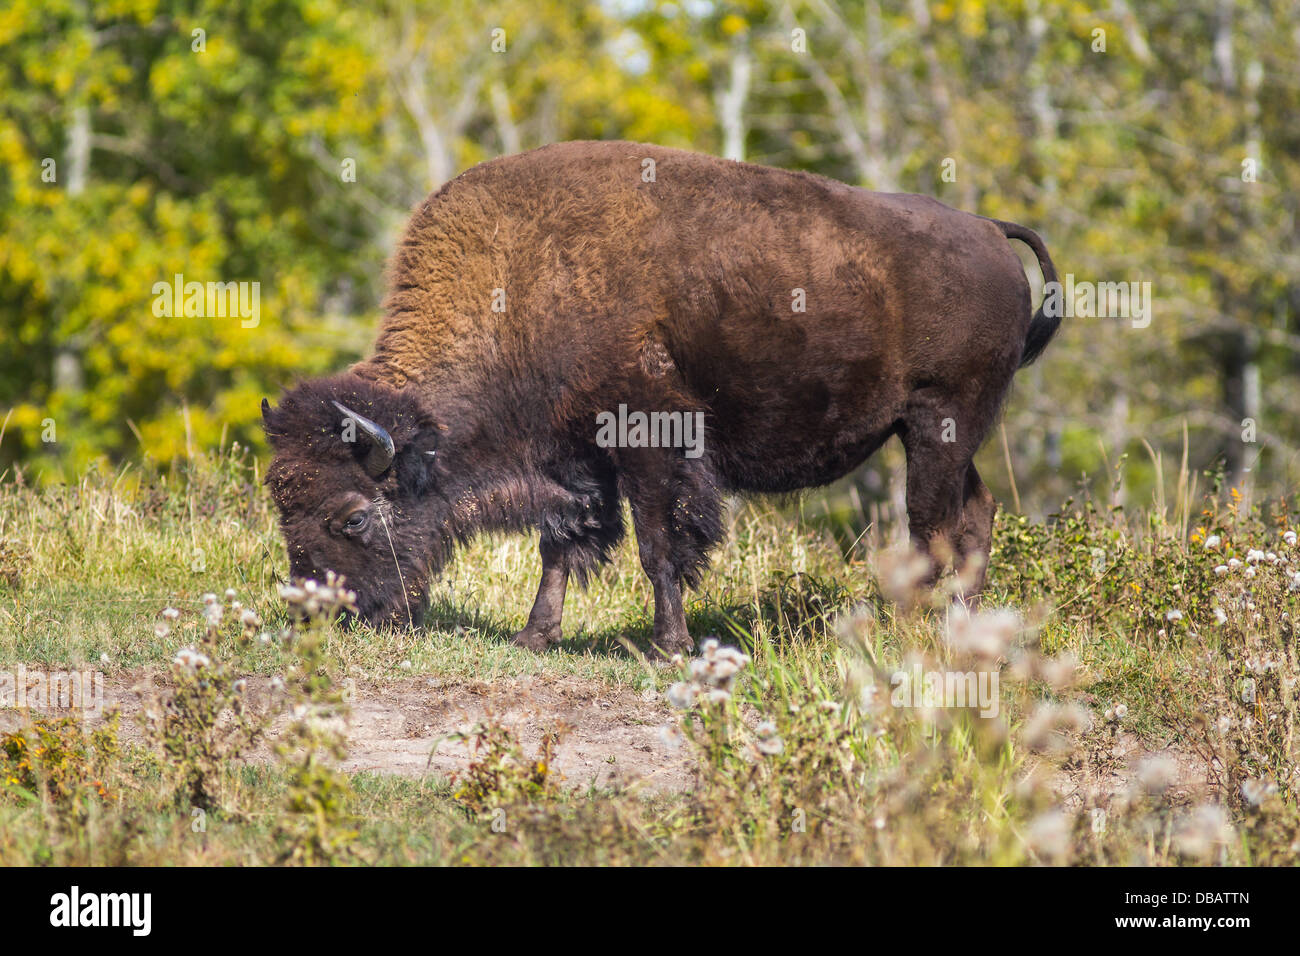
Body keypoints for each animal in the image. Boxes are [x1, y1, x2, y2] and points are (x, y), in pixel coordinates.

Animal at [261, 138, 1055, 655]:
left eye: (353, 516)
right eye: (281, 507)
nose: (324, 617)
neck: (520, 280)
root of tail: (989, 232)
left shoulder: (649, 441)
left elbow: (659, 544)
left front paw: (669, 645)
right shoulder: (573, 456)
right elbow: (563, 543)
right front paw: (534, 636)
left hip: (937, 423)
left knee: (931, 528)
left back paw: (911, 632)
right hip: (944, 435)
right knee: (975, 515)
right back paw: (961, 631)